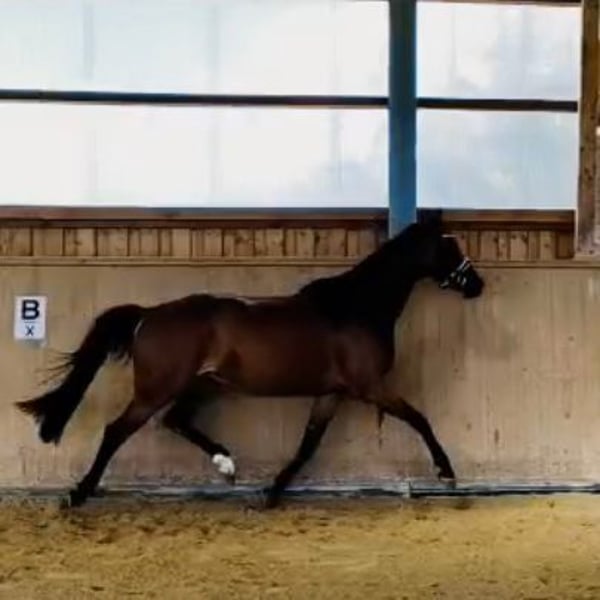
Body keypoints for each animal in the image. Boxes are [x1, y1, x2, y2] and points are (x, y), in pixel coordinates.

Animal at [16, 212, 484, 509]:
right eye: (449, 246)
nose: (476, 284)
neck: (357, 307)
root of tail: (147, 315)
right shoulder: (370, 387)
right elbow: (420, 418)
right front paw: (446, 472)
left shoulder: (332, 393)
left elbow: (308, 445)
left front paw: (273, 493)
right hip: (158, 388)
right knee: (118, 430)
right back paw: (79, 493)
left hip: (202, 384)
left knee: (175, 421)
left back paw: (226, 463)